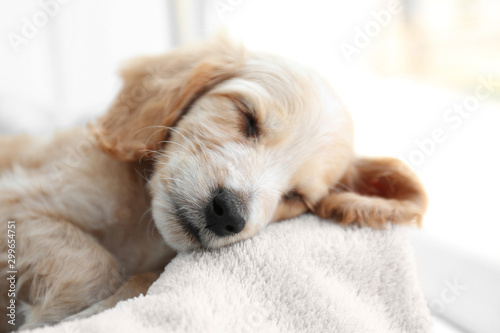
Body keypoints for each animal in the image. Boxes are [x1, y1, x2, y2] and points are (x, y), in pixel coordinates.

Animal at [0, 36, 426, 330]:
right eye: (247, 118)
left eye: (296, 197)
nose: (228, 216)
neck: (141, 227)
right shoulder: (19, 202)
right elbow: (93, 263)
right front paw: (58, 318)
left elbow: (134, 280)